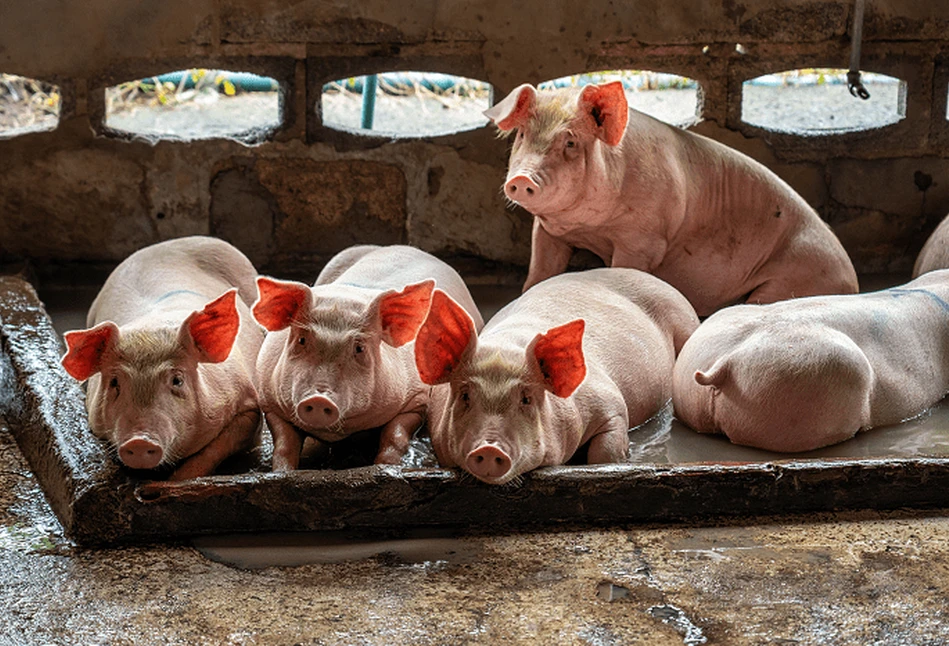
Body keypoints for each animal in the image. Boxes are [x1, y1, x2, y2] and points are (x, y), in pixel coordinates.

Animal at [59, 238, 262, 480]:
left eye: (177, 380)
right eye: (114, 383)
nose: (139, 441)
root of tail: (169, 242)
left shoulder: (248, 404)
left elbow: (214, 450)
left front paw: (174, 481)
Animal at [252, 243, 482, 470]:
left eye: (359, 348)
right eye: (301, 340)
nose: (318, 399)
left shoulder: (416, 400)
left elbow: (395, 438)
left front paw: (383, 467)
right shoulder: (269, 402)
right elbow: (284, 445)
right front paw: (281, 472)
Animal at [412, 268, 696, 486]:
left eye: (526, 399)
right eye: (465, 395)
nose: (489, 448)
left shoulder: (611, 402)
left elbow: (605, 453)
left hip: (685, 320)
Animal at [486, 81, 864, 318]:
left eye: (570, 142)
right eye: (522, 134)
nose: (521, 179)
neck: (589, 229)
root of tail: (852, 280)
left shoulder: (644, 239)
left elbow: (623, 273)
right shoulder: (549, 231)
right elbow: (539, 271)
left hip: (797, 277)